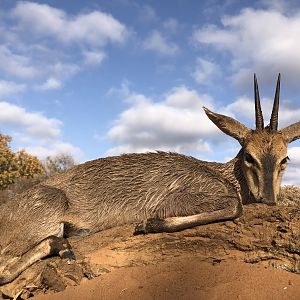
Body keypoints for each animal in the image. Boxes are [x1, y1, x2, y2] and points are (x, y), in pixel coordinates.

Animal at [0, 74, 300, 284]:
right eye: (249, 155)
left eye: (285, 159)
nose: (268, 200)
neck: (223, 175)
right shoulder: (178, 199)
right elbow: (235, 206)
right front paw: (147, 224)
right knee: (3, 272)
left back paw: (63, 245)